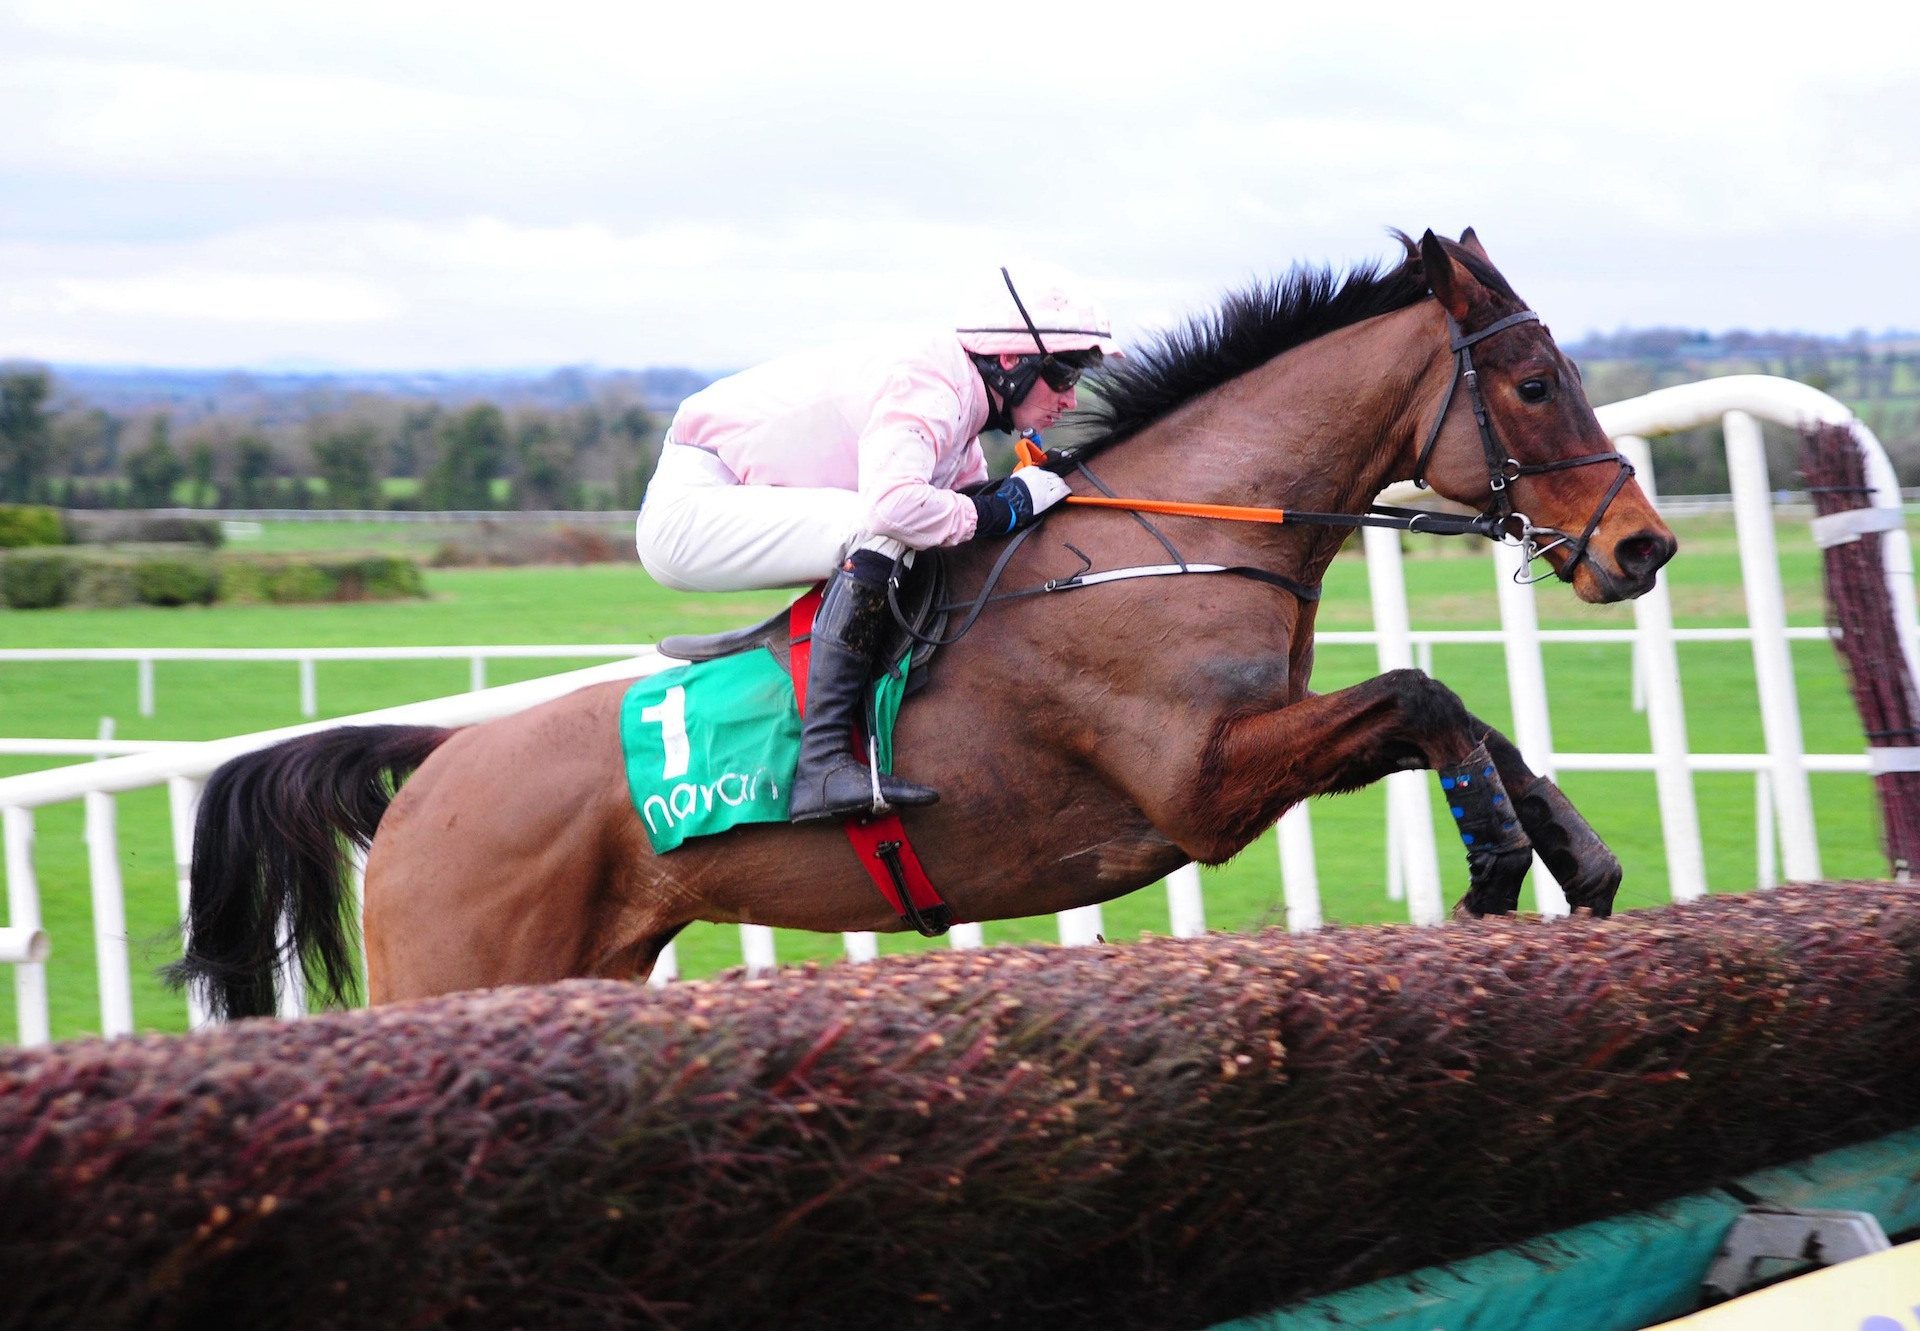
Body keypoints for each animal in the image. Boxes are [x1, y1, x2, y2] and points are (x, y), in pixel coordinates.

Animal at [176, 228, 1681, 1014]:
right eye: (1535, 383)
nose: (1642, 544)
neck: (1176, 537)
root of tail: (435, 762)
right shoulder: (1202, 783)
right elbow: (1423, 695)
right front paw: (1497, 865)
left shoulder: (1259, 743)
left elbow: (1462, 714)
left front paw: (1577, 853)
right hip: (456, 974)